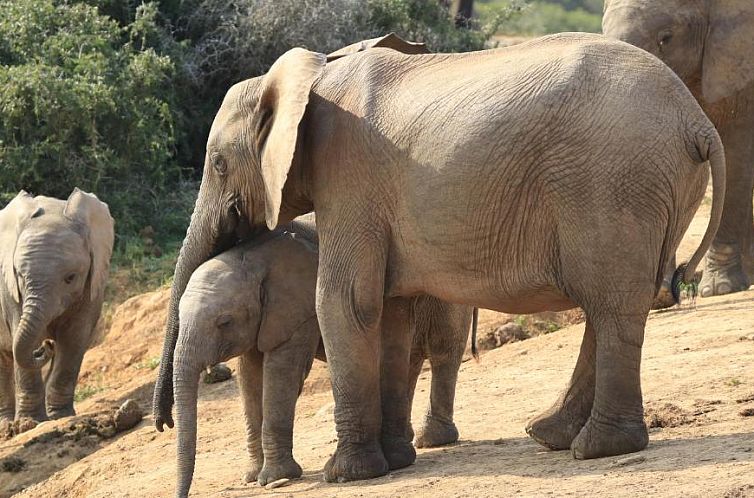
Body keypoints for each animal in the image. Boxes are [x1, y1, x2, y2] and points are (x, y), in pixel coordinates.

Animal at [0, 189, 113, 422]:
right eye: (20, 275)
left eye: (70, 278)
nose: (45, 346)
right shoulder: (10, 290)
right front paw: (29, 423)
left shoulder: (93, 280)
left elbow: (74, 338)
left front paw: (60, 415)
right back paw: (7, 425)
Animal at [170, 223, 470, 498]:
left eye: (224, 322)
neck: (253, 257)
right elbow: (250, 377)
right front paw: (253, 476)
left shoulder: (299, 310)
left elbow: (282, 373)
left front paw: (273, 478)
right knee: (410, 359)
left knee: (443, 352)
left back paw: (431, 439)